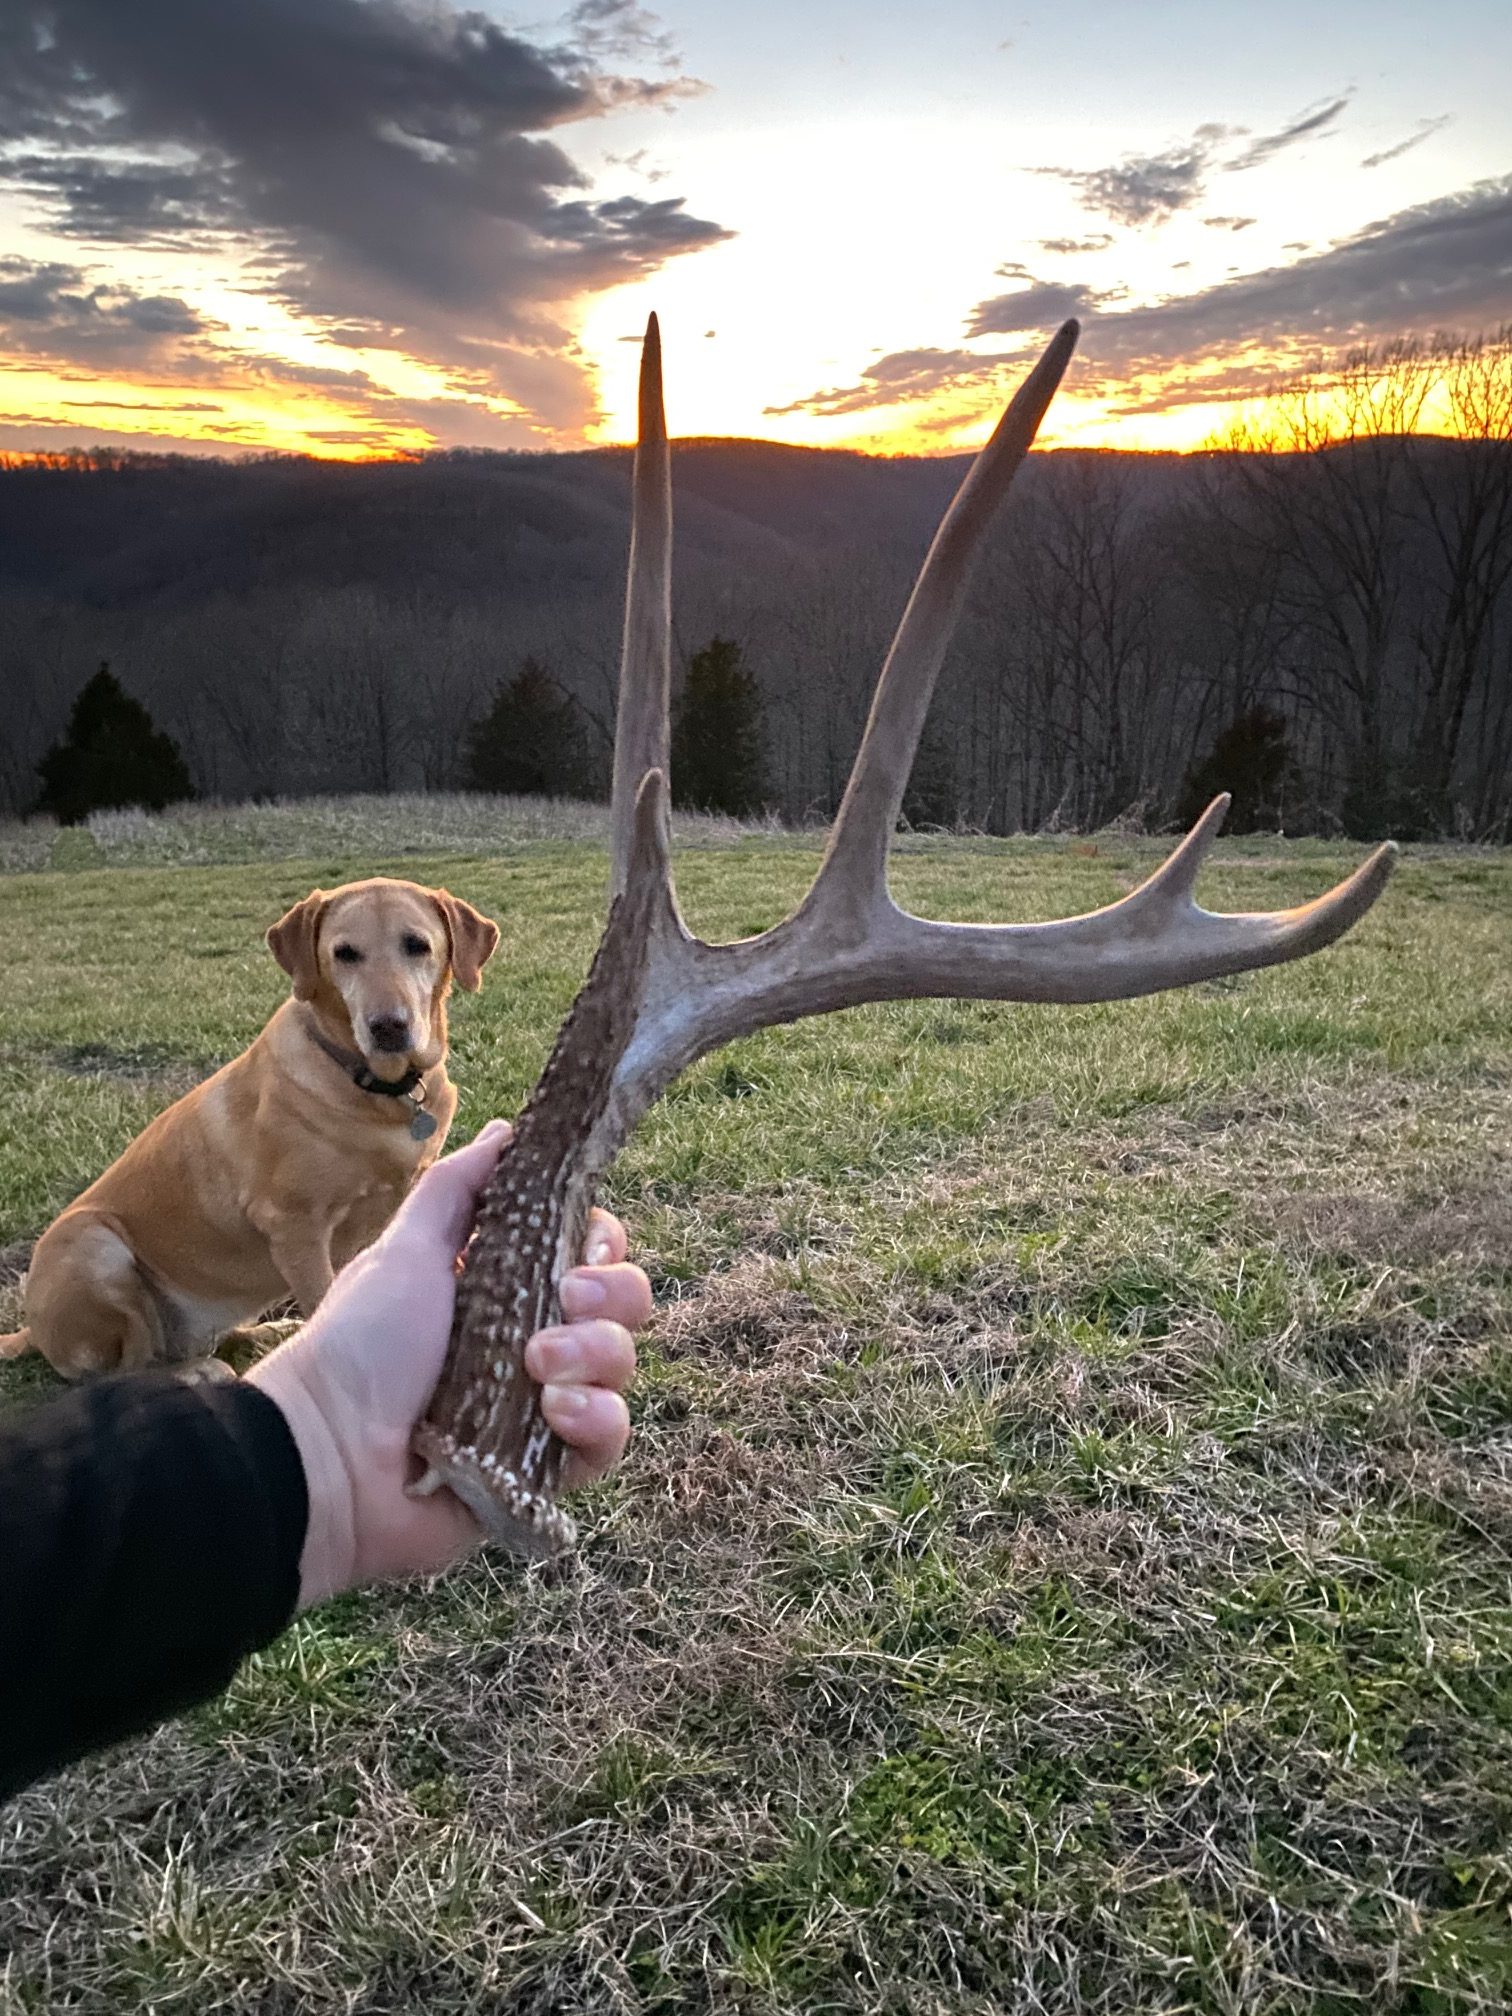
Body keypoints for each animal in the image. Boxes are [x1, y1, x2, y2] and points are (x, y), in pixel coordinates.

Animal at [4, 874, 504, 1378]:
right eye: (344, 953)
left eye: (417, 945)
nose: (388, 1027)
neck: (377, 1090)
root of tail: (31, 1332)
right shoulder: (293, 1226)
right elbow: (325, 1301)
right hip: (92, 1246)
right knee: (128, 1369)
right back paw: (197, 1370)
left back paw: (265, 1333)